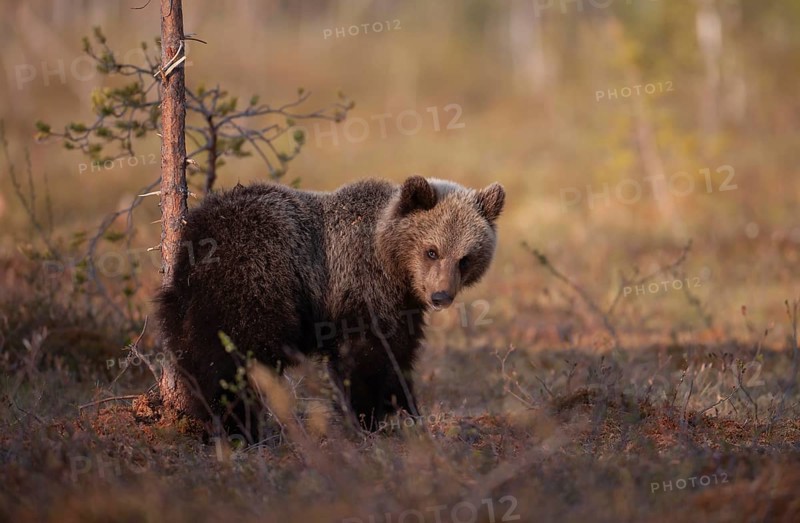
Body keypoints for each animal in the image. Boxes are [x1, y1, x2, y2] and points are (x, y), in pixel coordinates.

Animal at [155, 175, 505, 432]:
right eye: (432, 251)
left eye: (465, 258)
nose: (441, 296)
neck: (391, 263)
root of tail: (199, 233)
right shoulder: (360, 286)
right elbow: (366, 356)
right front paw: (367, 416)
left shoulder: (403, 306)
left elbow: (399, 354)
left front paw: (405, 408)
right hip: (255, 279)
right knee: (237, 356)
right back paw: (238, 425)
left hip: (181, 301)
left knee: (194, 353)